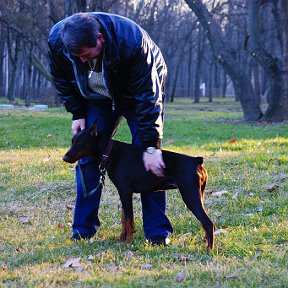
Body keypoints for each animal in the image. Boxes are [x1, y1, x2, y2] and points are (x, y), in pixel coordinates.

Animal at [63, 122, 216, 249]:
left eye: (80, 142)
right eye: (72, 141)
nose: (65, 158)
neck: (109, 152)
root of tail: (196, 161)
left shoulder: (125, 191)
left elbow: (129, 220)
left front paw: (126, 242)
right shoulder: (124, 193)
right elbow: (125, 219)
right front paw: (121, 238)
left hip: (190, 196)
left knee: (208, 224)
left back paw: (208, 249)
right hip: (199, 195)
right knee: (205, 224)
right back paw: (205, 242)